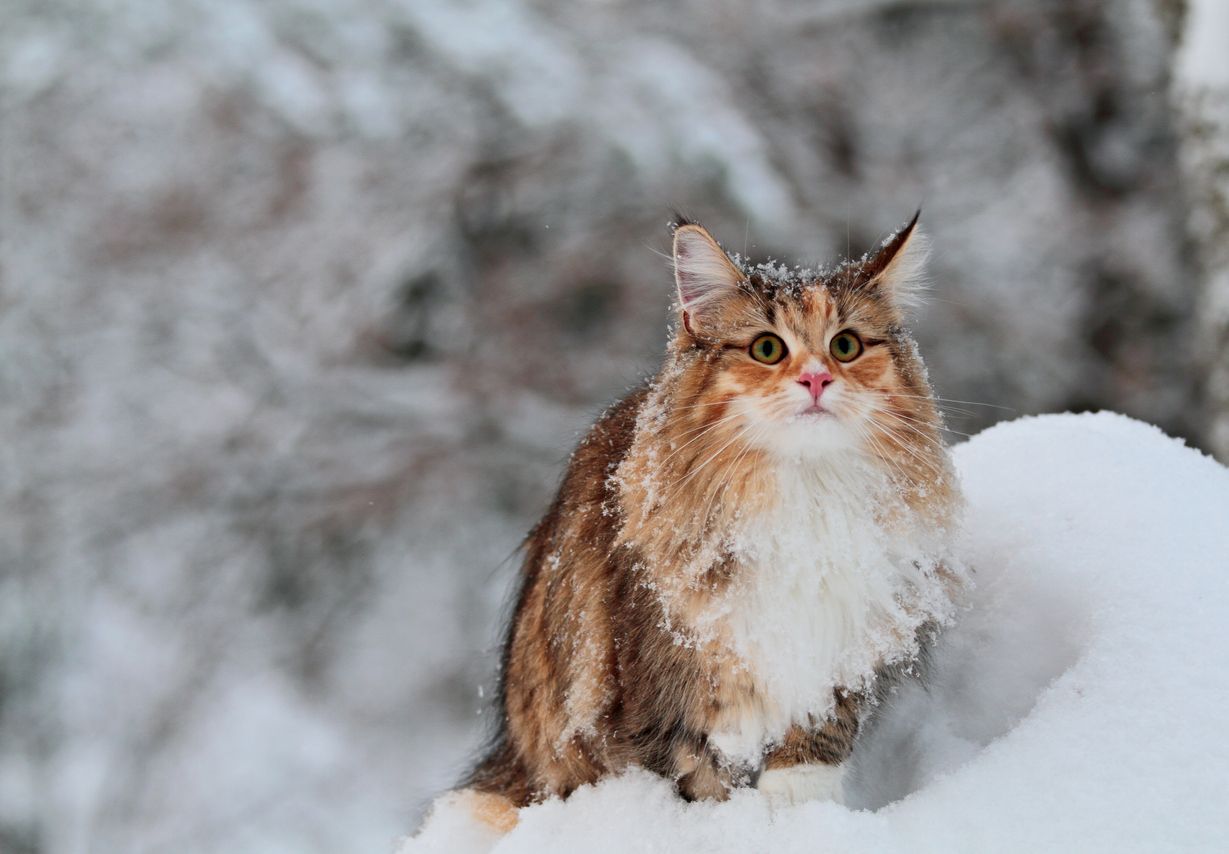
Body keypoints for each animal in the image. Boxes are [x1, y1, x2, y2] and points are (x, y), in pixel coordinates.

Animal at [457, 213, 963, 835]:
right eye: (767, 348)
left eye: (844, 345)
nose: (817, 380)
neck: (806, 498)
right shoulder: (667, 690)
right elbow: (698, 783)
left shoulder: (837, 660)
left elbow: (809, 754)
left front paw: (798, 819)